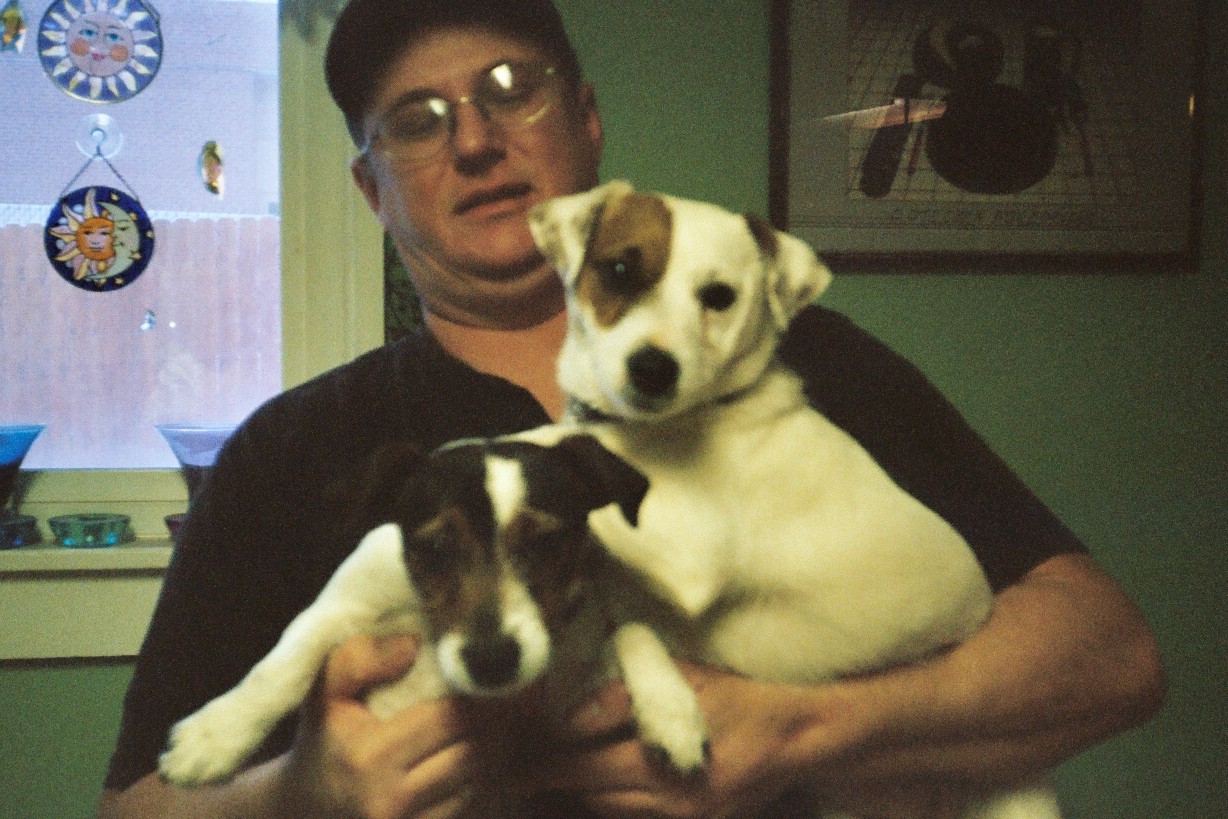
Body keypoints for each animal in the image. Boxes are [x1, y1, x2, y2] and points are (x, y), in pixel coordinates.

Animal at [157, 433, 712, 797]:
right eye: (436, 547)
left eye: (545, 543)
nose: (493, 663)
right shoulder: (340, 608)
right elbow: (282, 663)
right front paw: (215, 735)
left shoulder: (566, 683)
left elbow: (634, 630)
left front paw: (673, 715)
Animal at [524, 180, 1062, 818]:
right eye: (620, 269)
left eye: (719, 296)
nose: (653, 368)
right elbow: (623, 633)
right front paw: (667, 711)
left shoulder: (689, 554)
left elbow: (564, 444)